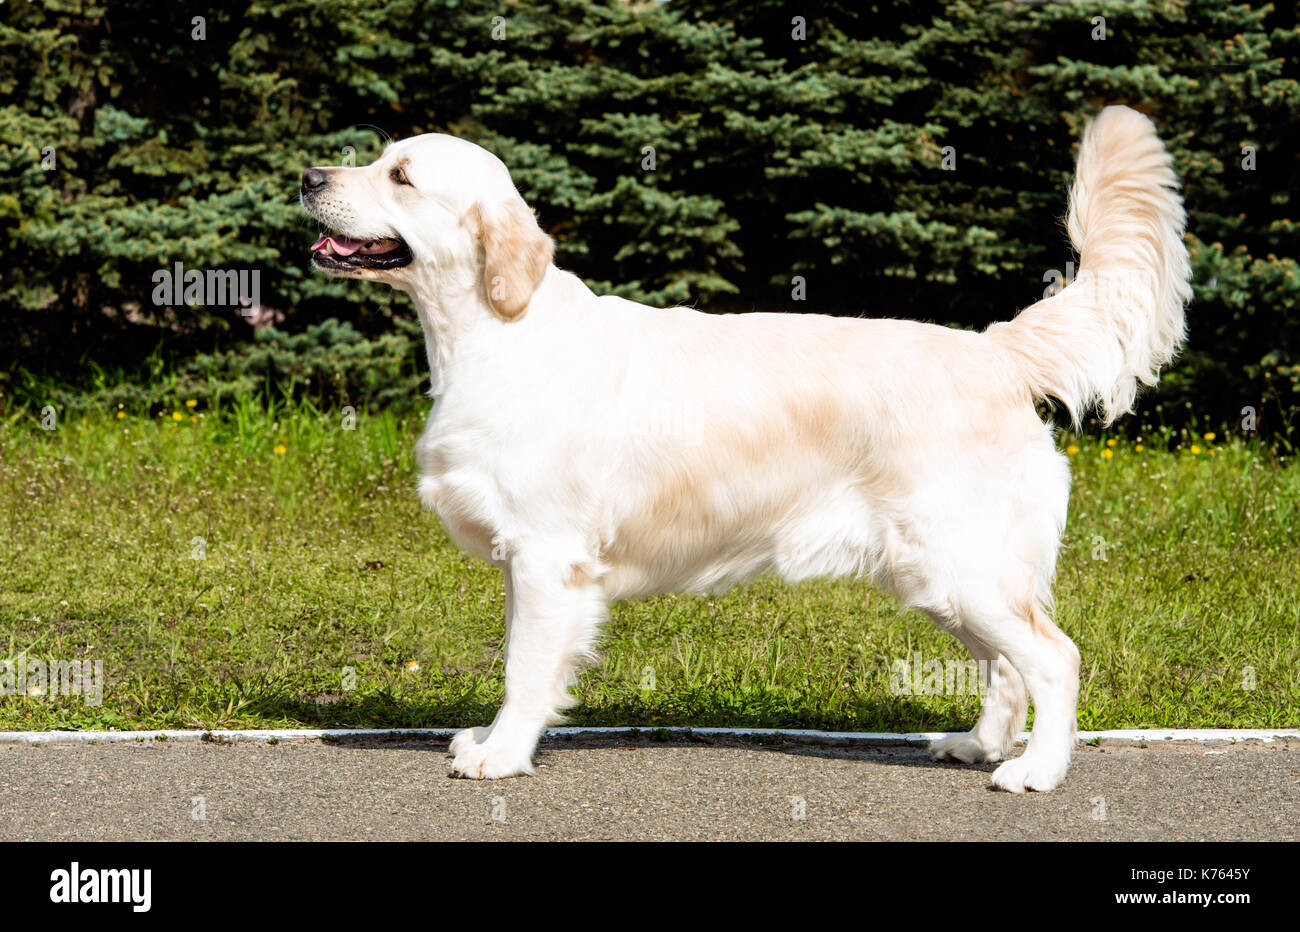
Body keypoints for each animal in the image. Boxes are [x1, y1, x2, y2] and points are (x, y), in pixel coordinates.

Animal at [301, 109, 1190, 790]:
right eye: (377, 159)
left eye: (401, 177)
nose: (308, 175)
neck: (492, 331)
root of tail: (993, 350)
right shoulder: (528, 558)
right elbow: (524, 661)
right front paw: (494, 741)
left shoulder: (548, 554)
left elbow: (525, 668)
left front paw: (502, 756)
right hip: (940, 574)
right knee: (1005, 666)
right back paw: (976, 745)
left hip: (966, 563)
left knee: (1055, 657)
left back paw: (1035, 771)